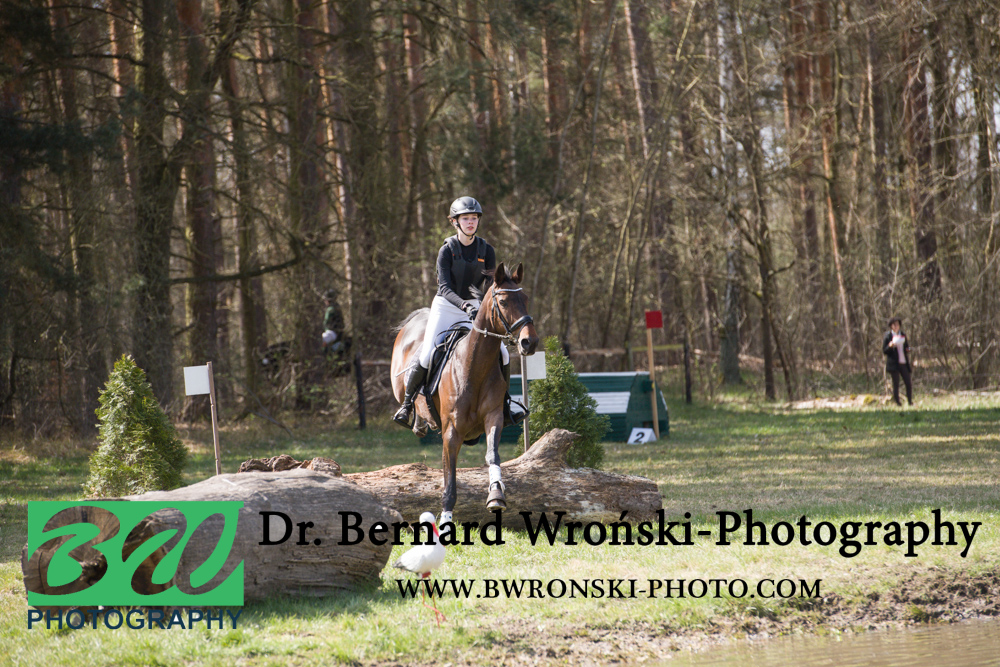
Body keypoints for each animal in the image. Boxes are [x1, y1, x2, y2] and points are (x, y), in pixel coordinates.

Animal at [390, 262, 539, 521]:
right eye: (503, 302)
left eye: (525, 298)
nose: (529, 342)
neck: (474, 367)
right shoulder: (451, 432)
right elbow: (449, 480)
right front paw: (446, 520)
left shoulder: (494, 417)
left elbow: (493, 455)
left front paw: (496, 495)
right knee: (410, 392)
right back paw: (410, 415)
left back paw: (420, 425)